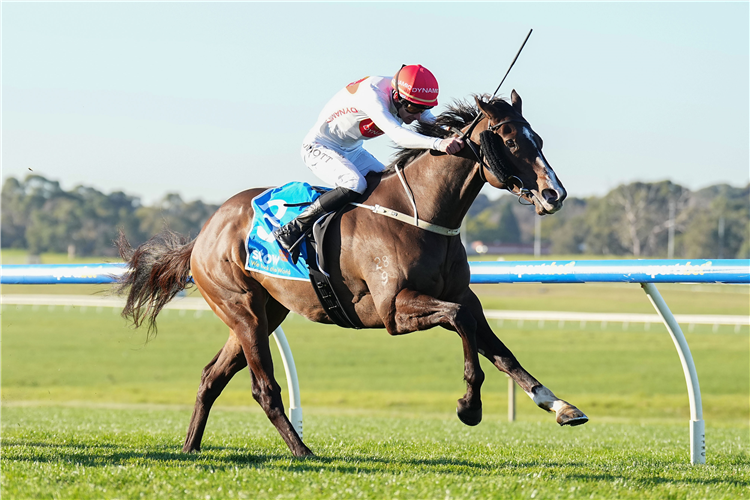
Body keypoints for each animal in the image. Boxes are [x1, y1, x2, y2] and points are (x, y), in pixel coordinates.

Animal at [116, 91, 588, 458]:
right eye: (508, 140)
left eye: (537, 139)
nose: (554, 194)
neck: (423, 214)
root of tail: (205, 232)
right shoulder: (394, 311)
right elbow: (460, 323)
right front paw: (469, 406)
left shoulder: (464, 296)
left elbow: (500, 349)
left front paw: (560, 406)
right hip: (242, 310)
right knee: (263, 388)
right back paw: (303, 451)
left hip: (265, 314)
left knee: (211, 378)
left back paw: (191, 448)